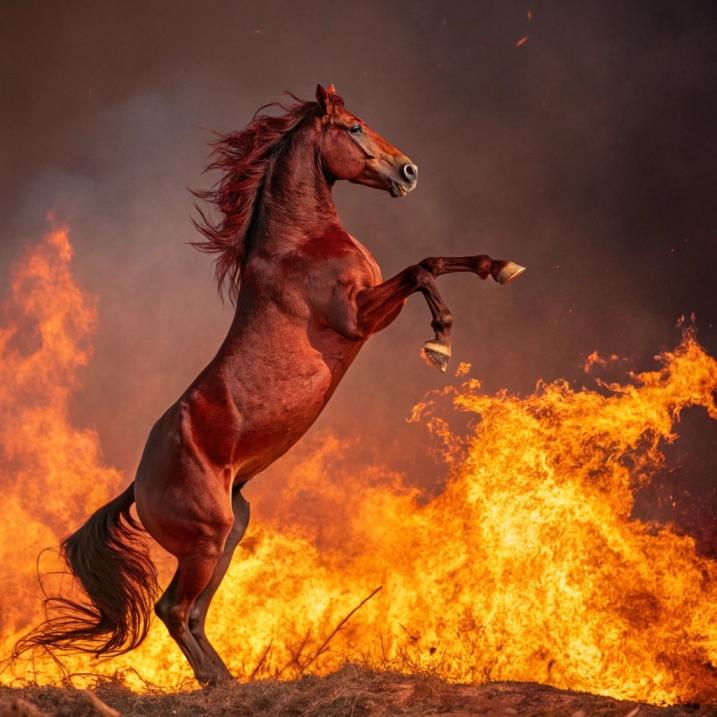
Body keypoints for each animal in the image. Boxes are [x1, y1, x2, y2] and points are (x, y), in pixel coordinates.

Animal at [15, 82, 520, 684]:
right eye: (353, 127)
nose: (409, 170)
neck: (299, 243)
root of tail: (137, 485)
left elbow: (438, 260)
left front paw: (501, 266)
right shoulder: (359, 316)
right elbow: (423, 268)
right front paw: (440, 340)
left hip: (231, 532)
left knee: (194, 613)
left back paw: (227, 682)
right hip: (206, 540)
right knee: (173, 609)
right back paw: (215, 683)